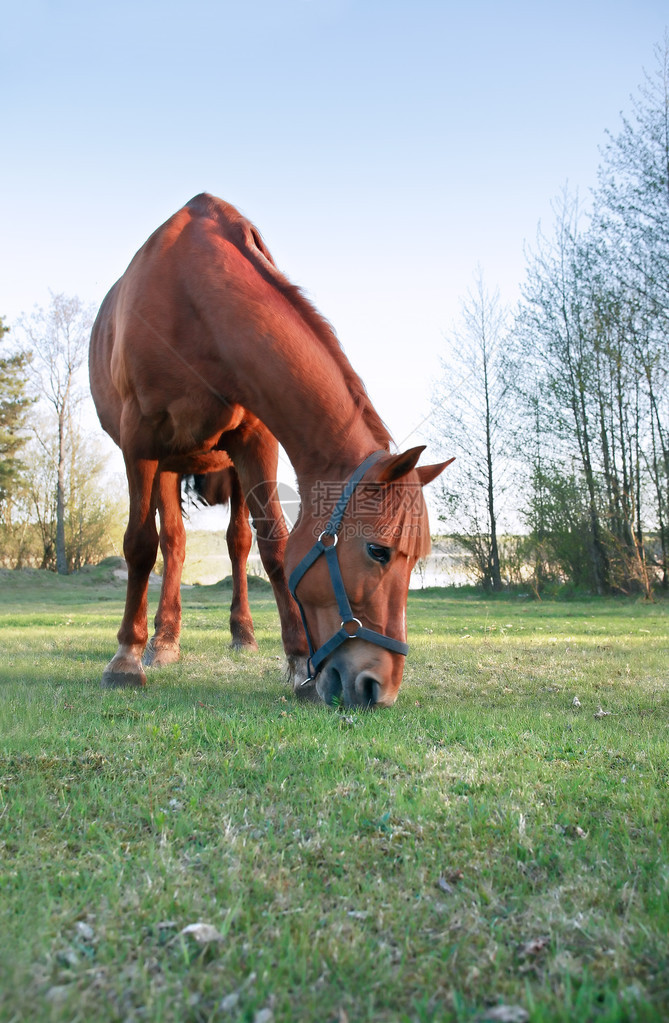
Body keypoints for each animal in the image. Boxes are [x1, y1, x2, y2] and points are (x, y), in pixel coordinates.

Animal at [88, 193, 454, 703]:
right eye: (378, 551)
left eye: (417, 559)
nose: (378, 688)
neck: (194, 298)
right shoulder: (140, 440)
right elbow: (140, 545)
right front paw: (125, 659)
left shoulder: (257, 440)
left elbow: (275, 546)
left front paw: (298, 662)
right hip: (166, 461)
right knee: (173, 544)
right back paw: (161, 642)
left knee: (236, 543)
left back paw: (240, 635)